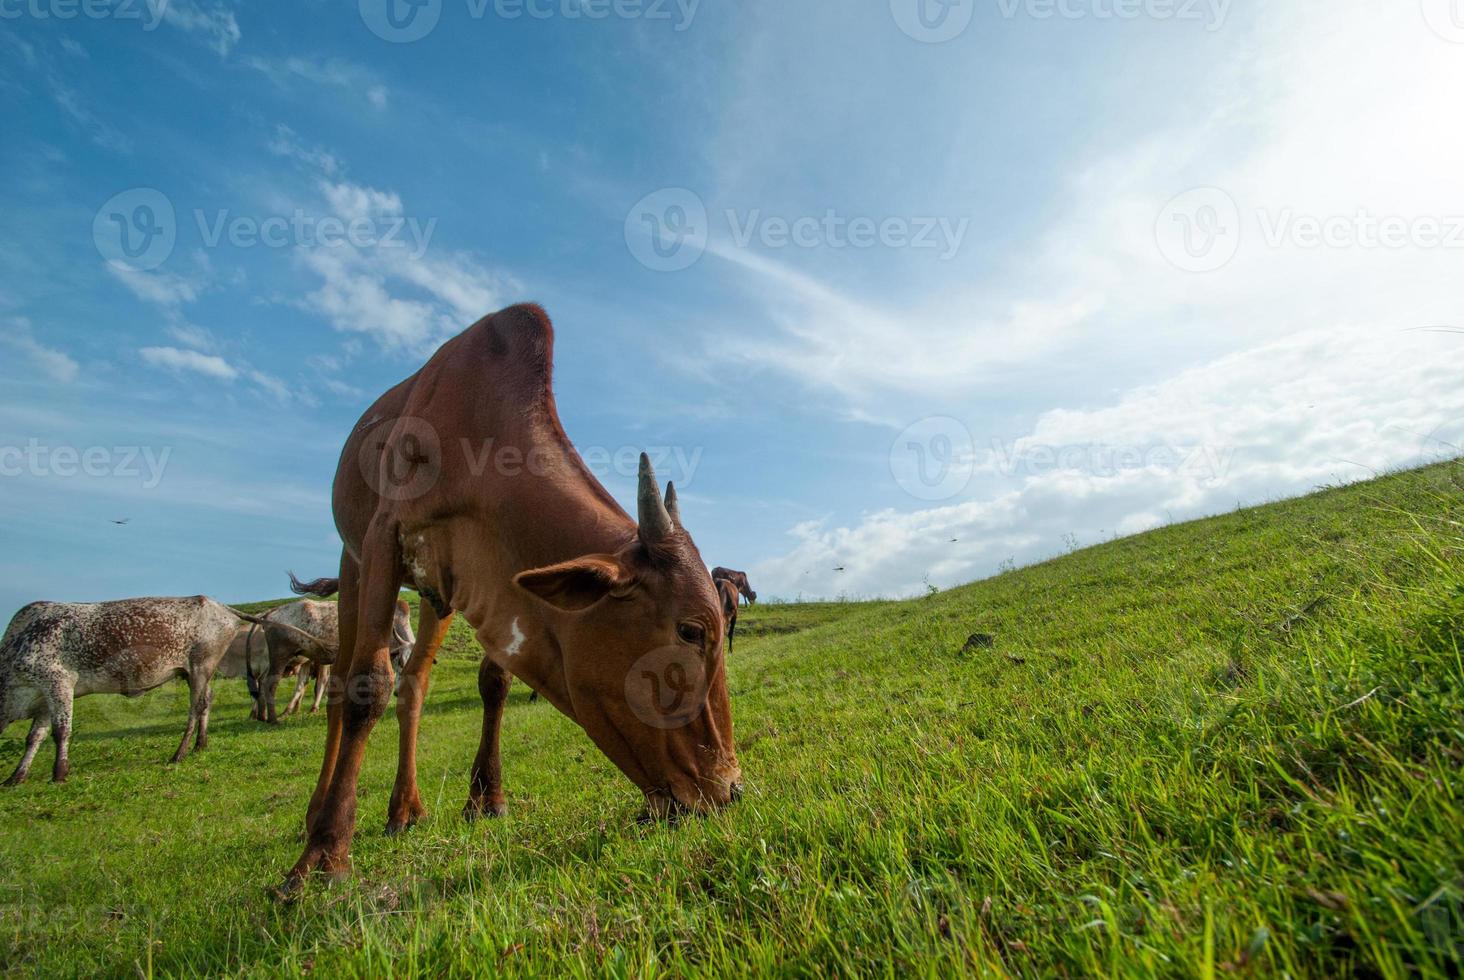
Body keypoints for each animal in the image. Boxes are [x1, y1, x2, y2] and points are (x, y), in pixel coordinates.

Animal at [0, 591, 335, 785]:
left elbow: (54, 731)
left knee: (204, 704)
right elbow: (40, 734)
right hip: (203, 670)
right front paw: (21, 776)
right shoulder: (50, 690)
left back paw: (189, 748)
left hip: (201, 669)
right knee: (220, 699)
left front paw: (53, 773)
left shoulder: (55, 684)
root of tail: (223, 609)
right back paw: (199, 744)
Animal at [282, 306, 743, 896]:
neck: (479, 443)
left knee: (414, 686)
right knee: (344, 683)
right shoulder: (385, 538)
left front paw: (488, 797)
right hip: (353, 562)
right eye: (690, 630)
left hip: (433, 598)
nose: (730, 790)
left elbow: (494, 683)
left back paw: (406, 808)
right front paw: (325, 855)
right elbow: (368, 687)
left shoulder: (487, 583)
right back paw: (316, 815)